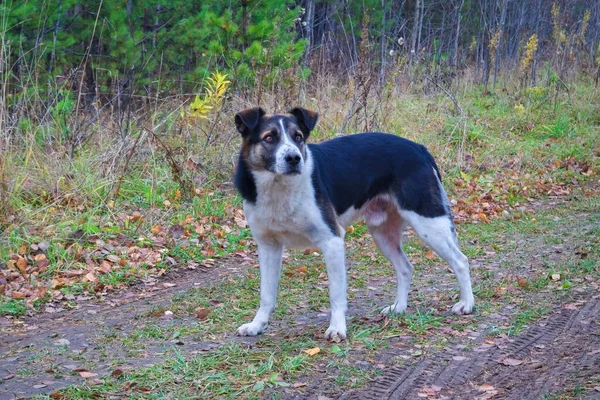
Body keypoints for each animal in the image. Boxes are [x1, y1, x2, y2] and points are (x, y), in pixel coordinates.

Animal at [233, 107, 474, 340]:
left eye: (298, 137)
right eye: (269, 138)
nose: (294, 158)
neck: (279, 187)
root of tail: (418, 147)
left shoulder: (332, 241)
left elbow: (336, 294)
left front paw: (337, 328)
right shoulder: (268, 246)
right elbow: (266, 295)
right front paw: (257, 325)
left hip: (428, 224)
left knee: (460, 261)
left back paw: (467, 304)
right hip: (382, 233)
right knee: (405, 268)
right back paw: (398, 307)